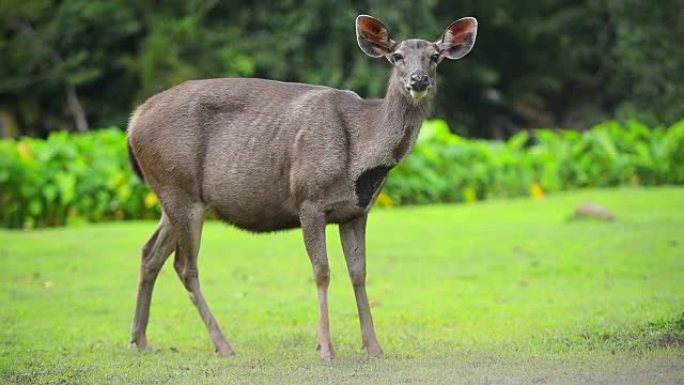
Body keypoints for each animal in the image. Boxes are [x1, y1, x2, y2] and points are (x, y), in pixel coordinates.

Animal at [127, 12, 476, 360]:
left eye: (435, 56)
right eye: (397, 56)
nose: (419, 80)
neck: (362, 157)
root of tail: (133, 122)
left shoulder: (358, 210)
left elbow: (359, 272)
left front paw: (373, 345)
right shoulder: (308, 199)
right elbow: (322, 272)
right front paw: (326, 348)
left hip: (174, 194)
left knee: (150, 253)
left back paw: (140, 339)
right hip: (178, 188)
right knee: (185, 266)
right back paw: (223, 345)